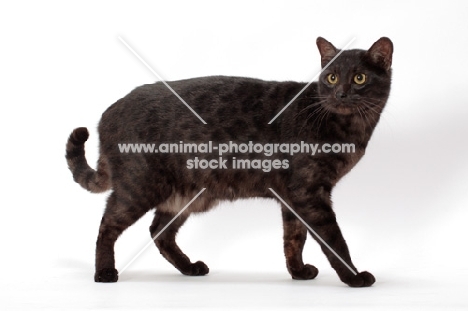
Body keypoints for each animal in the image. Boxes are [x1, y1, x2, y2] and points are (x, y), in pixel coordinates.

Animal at [66, 36, 394, 288]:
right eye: (332, 77)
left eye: (360, 78)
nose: (341, 93)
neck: (350, 128)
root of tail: (107, 113)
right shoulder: (310, 193)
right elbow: (333, 240)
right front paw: (354, 277)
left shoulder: (294, 197)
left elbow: (293, 238)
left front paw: (298, 272)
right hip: (141, 185)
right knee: (108, 224)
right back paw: (104, 272)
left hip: (186, 197)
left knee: (159, 231)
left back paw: (189, 267)